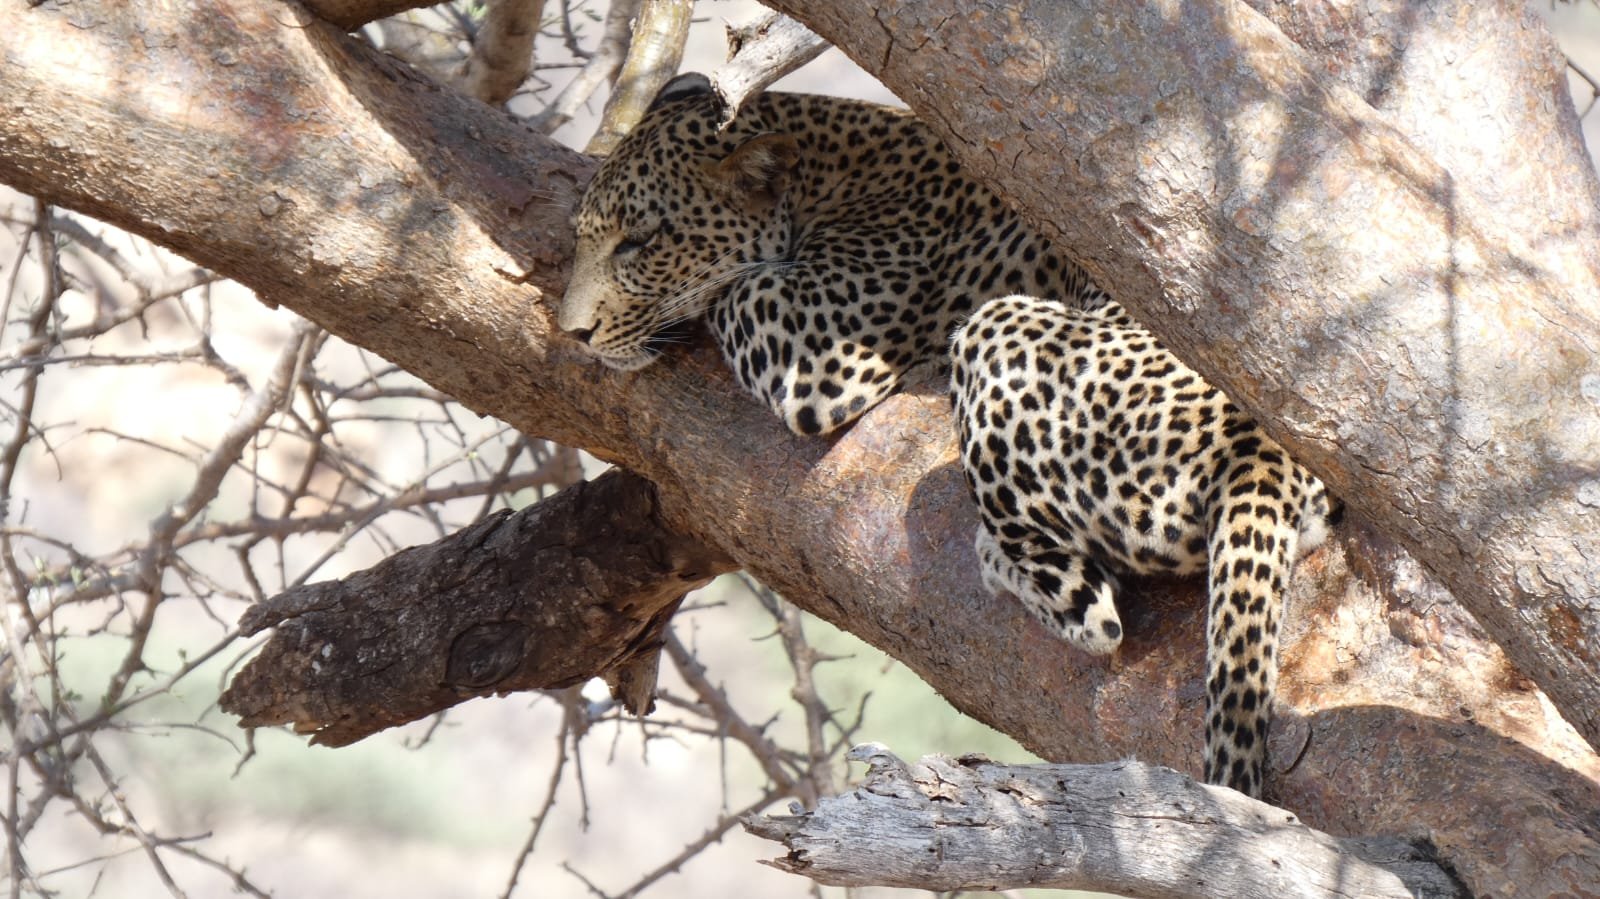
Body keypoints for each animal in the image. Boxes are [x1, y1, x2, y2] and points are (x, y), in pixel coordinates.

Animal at [558, 72, 1335, 799]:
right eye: (584, 237)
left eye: (641, 242)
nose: (573, 333)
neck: (828, 164)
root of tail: (1259, 449)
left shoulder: (817, 347)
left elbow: (732, 286)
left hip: (995, 332)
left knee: (1096, 614)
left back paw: (998, 560)